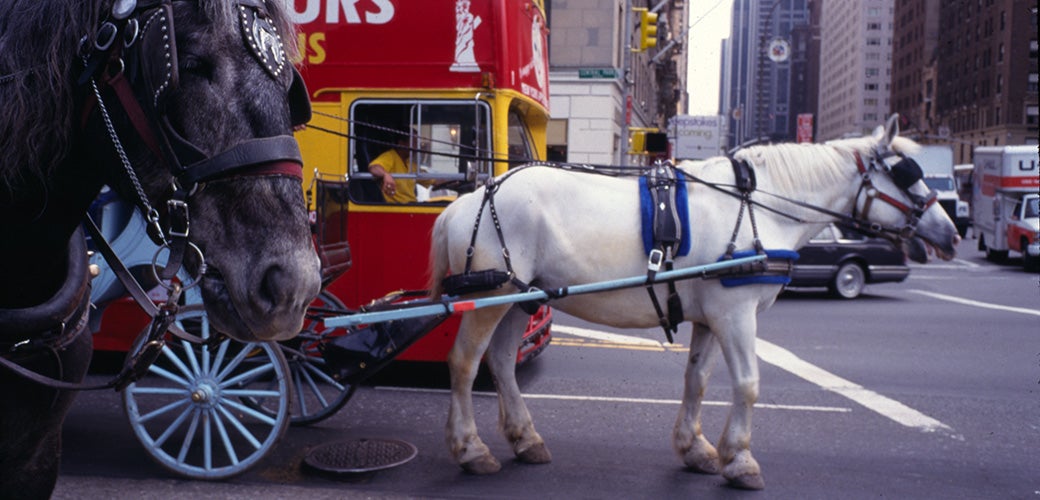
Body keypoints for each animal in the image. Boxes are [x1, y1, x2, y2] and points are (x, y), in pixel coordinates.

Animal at [428, 116, 960, 490]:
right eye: (906, 175)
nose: (952, 234)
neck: (759, 205)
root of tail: (468, 199)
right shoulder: (736, 315)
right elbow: (747, 384)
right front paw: (740, 460)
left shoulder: (711, 317)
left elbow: (697, 380)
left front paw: (695, 448)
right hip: (490, 296)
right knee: (465, 363)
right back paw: (470, 449)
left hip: (520, 297)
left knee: (501, 362)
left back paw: (525, 438)